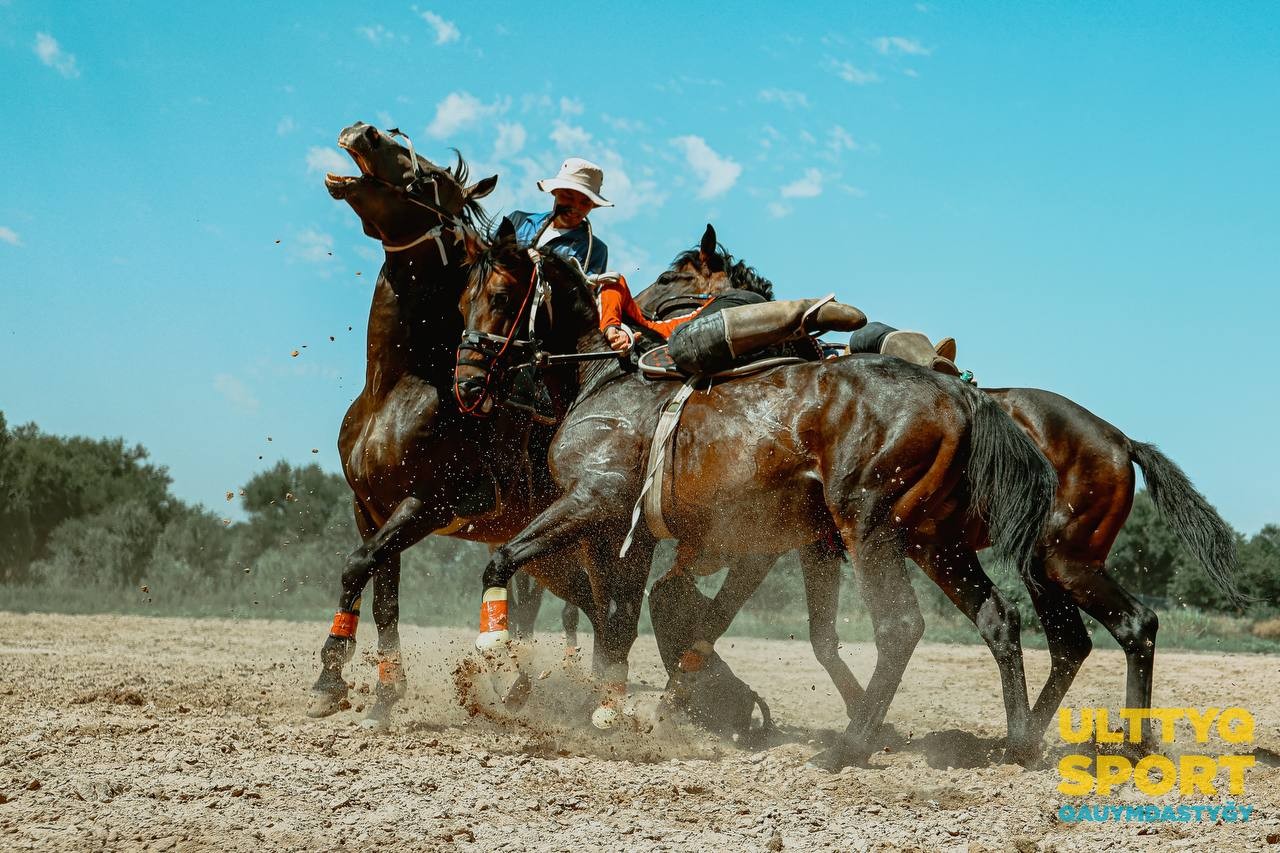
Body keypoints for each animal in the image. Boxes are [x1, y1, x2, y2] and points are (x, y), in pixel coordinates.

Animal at [455, 224, 1054, 763]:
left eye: (501, 297)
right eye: (465, 299)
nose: (466, 382)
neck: (608, 378)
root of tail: (958, 394)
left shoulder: (593, 502)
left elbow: (505, 562)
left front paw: (494, 655)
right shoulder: (628, 535)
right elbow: (618, 622)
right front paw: (610, 710)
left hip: (870, 530)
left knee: (899, 627)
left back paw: (849, 745)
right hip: (935, 544)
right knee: (998, 617)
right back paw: (1018, 743)